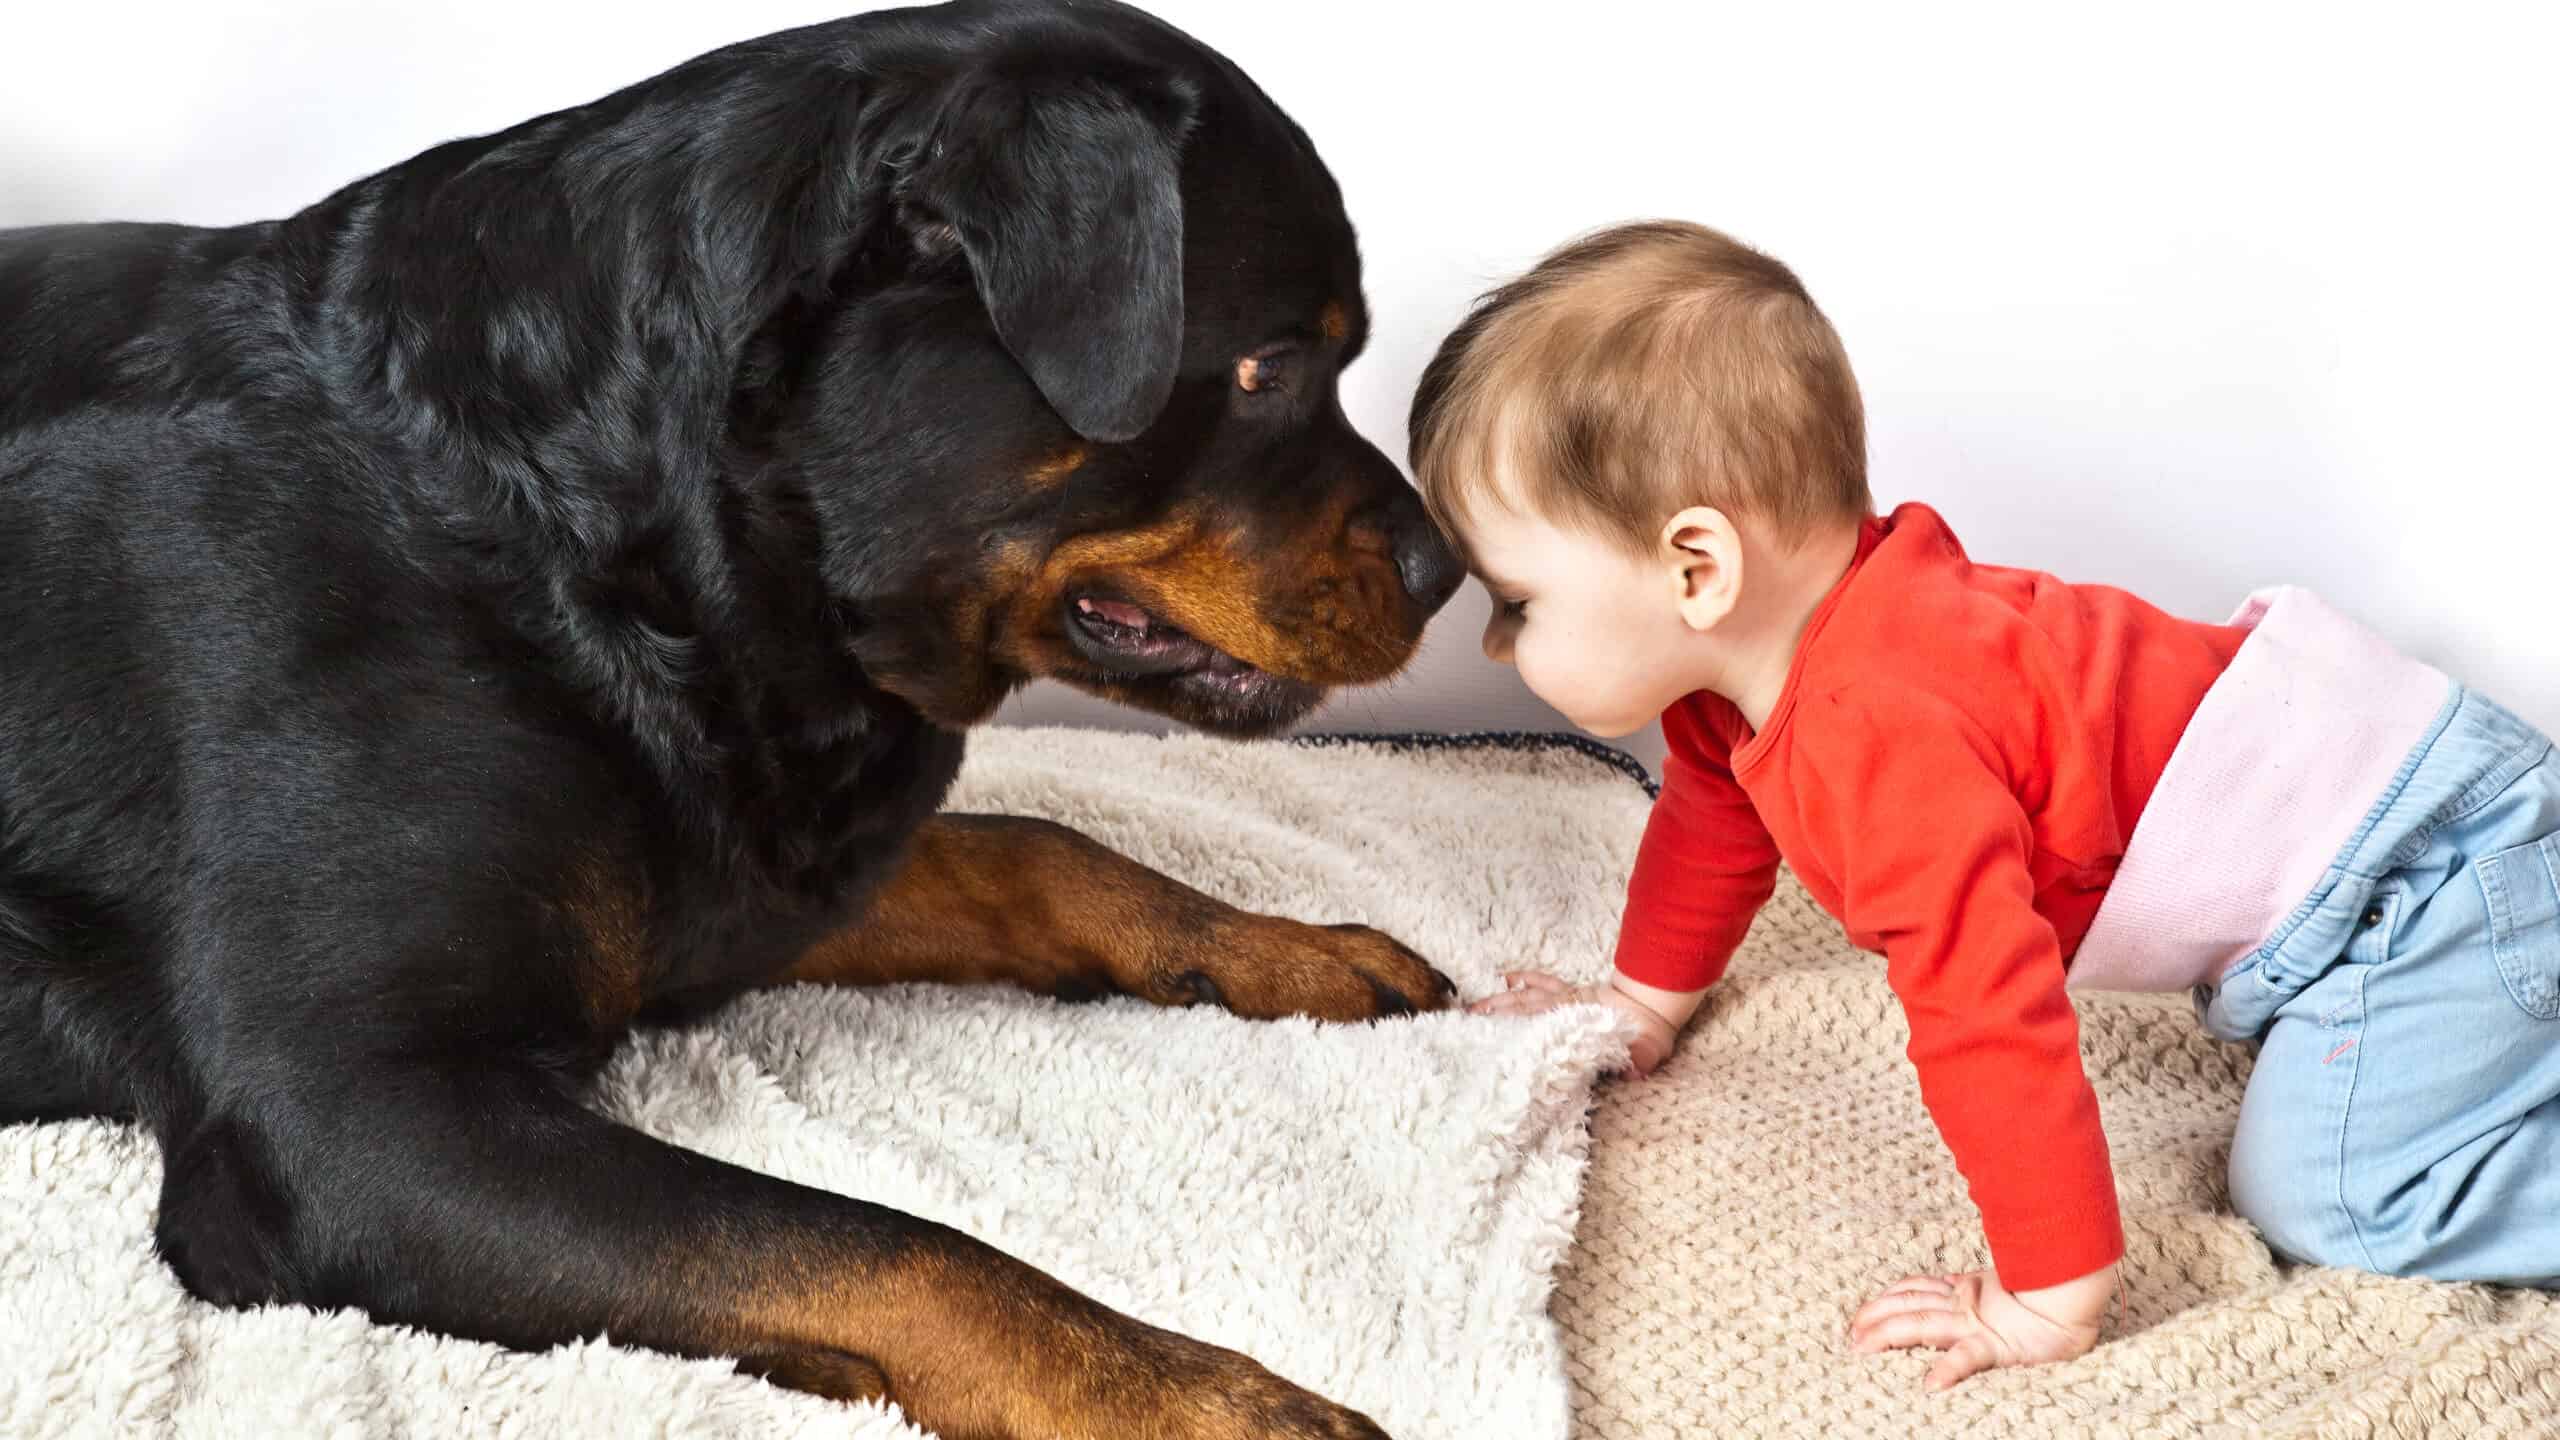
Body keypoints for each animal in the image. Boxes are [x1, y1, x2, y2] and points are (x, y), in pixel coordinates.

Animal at [0, 5, 1464, 1424]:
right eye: (1268, 367)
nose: (1446, 568)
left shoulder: (736, 861)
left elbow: (1034, 847)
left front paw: (1278, 945)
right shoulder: (343, 1114)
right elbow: (886, 1245)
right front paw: (1198, 1394)